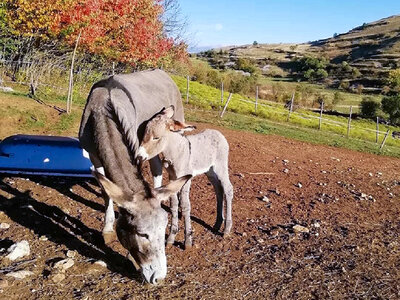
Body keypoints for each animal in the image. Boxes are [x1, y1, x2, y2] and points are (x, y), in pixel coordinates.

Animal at [137, 106, 233, 247]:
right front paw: (171, 237)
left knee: (228, 189)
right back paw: (217, 224)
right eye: (144, 135)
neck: (176, 151)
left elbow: (185, 205)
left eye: (156, 138)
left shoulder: (187, 178)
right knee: (218, 190)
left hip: (220, 167)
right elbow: (174, 204)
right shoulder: (173, 178)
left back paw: (226, 229)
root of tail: (218, 133)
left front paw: (188, 239)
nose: (139, 157)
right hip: (210, 171)